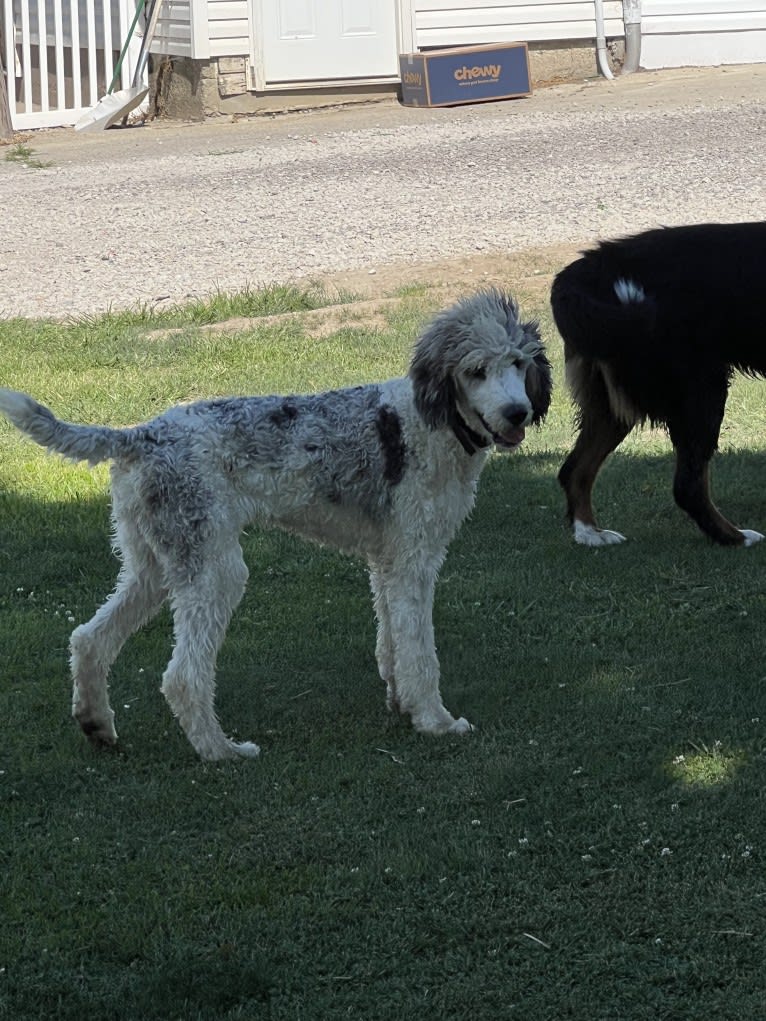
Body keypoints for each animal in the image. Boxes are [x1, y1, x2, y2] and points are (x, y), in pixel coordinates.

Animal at [0, 287, 551, 759]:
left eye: (519, 363)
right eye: (476, 370)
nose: (517, 412)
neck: (432, 421)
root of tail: (141, 435)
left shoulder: (387, 564)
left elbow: (391, 642)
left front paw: (401, 703)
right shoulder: (415, 562)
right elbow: (420, 652)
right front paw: (435, 720)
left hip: (154, 567)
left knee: (88, 639)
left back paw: (97, 724)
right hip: (215, 572)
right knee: (182, 677)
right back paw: (220, 751)